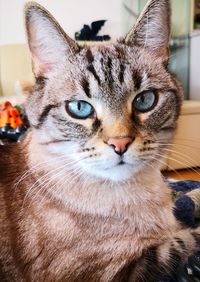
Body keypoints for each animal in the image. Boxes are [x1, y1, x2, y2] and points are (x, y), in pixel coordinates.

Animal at [0, 0, 200, 280]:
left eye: (144, 100)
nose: (120, 143)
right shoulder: (119, 271)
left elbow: (186, 201)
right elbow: (186, 240)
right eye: (80, 108)